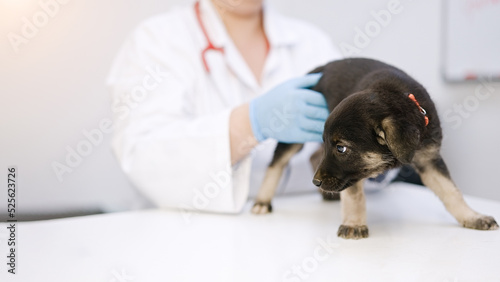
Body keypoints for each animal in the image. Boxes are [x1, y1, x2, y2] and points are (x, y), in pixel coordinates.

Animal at [252, 58, 498, 239]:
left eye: (341, 149)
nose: (316, 182)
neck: (395, 98)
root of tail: (319, 68)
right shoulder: (351, 175)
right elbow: (354, 197)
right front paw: (354, 224)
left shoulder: (429, 160)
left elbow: (451, 192)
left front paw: (472, 217)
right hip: (294, 133)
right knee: (277, 162)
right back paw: (262, 201)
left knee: (312, 158)